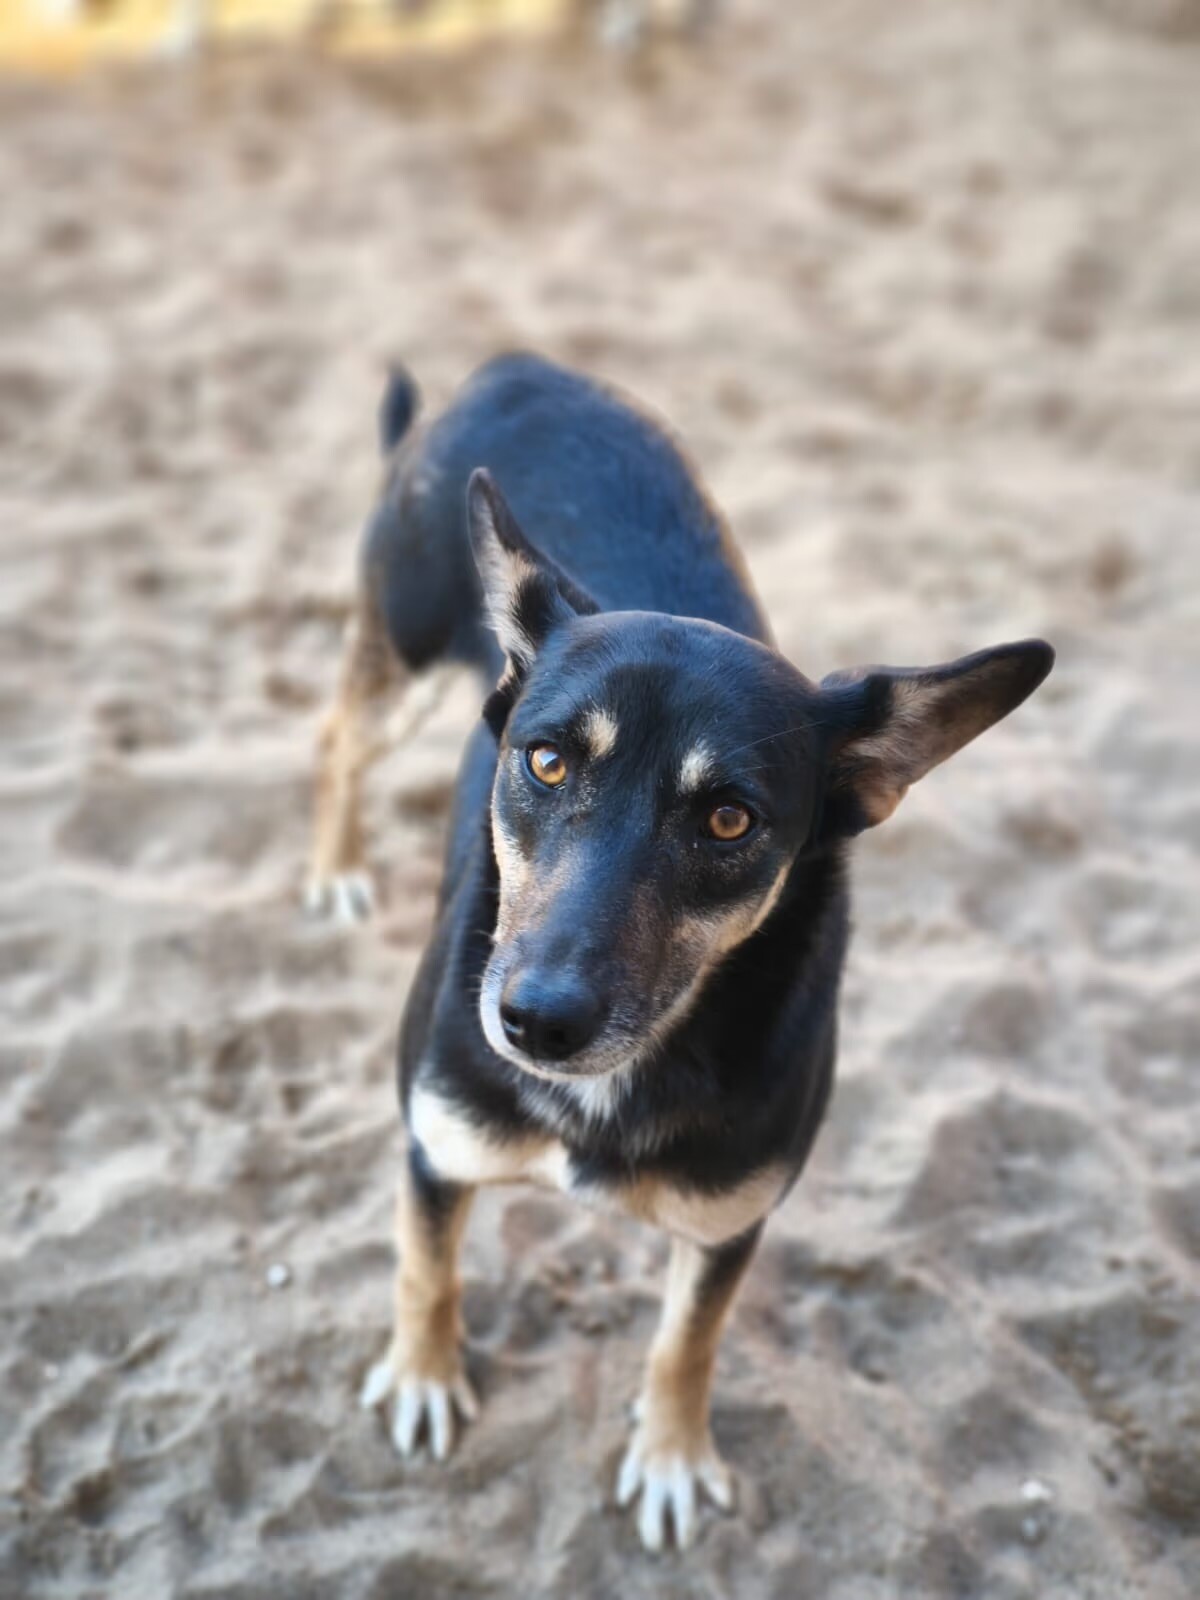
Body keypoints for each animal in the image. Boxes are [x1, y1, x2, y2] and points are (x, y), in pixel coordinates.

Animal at [313, 353, 1054, 1550]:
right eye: (547, 762)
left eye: (729, 820)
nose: (536, 1021)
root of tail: (512, 366)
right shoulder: (437, 1143)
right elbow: (426, 1269)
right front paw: (422, 1375)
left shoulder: (728, 1223)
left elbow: (686, 1342)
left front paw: (669, 1454)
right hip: (411, 654)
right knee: (338, 738)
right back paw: (332, 866)